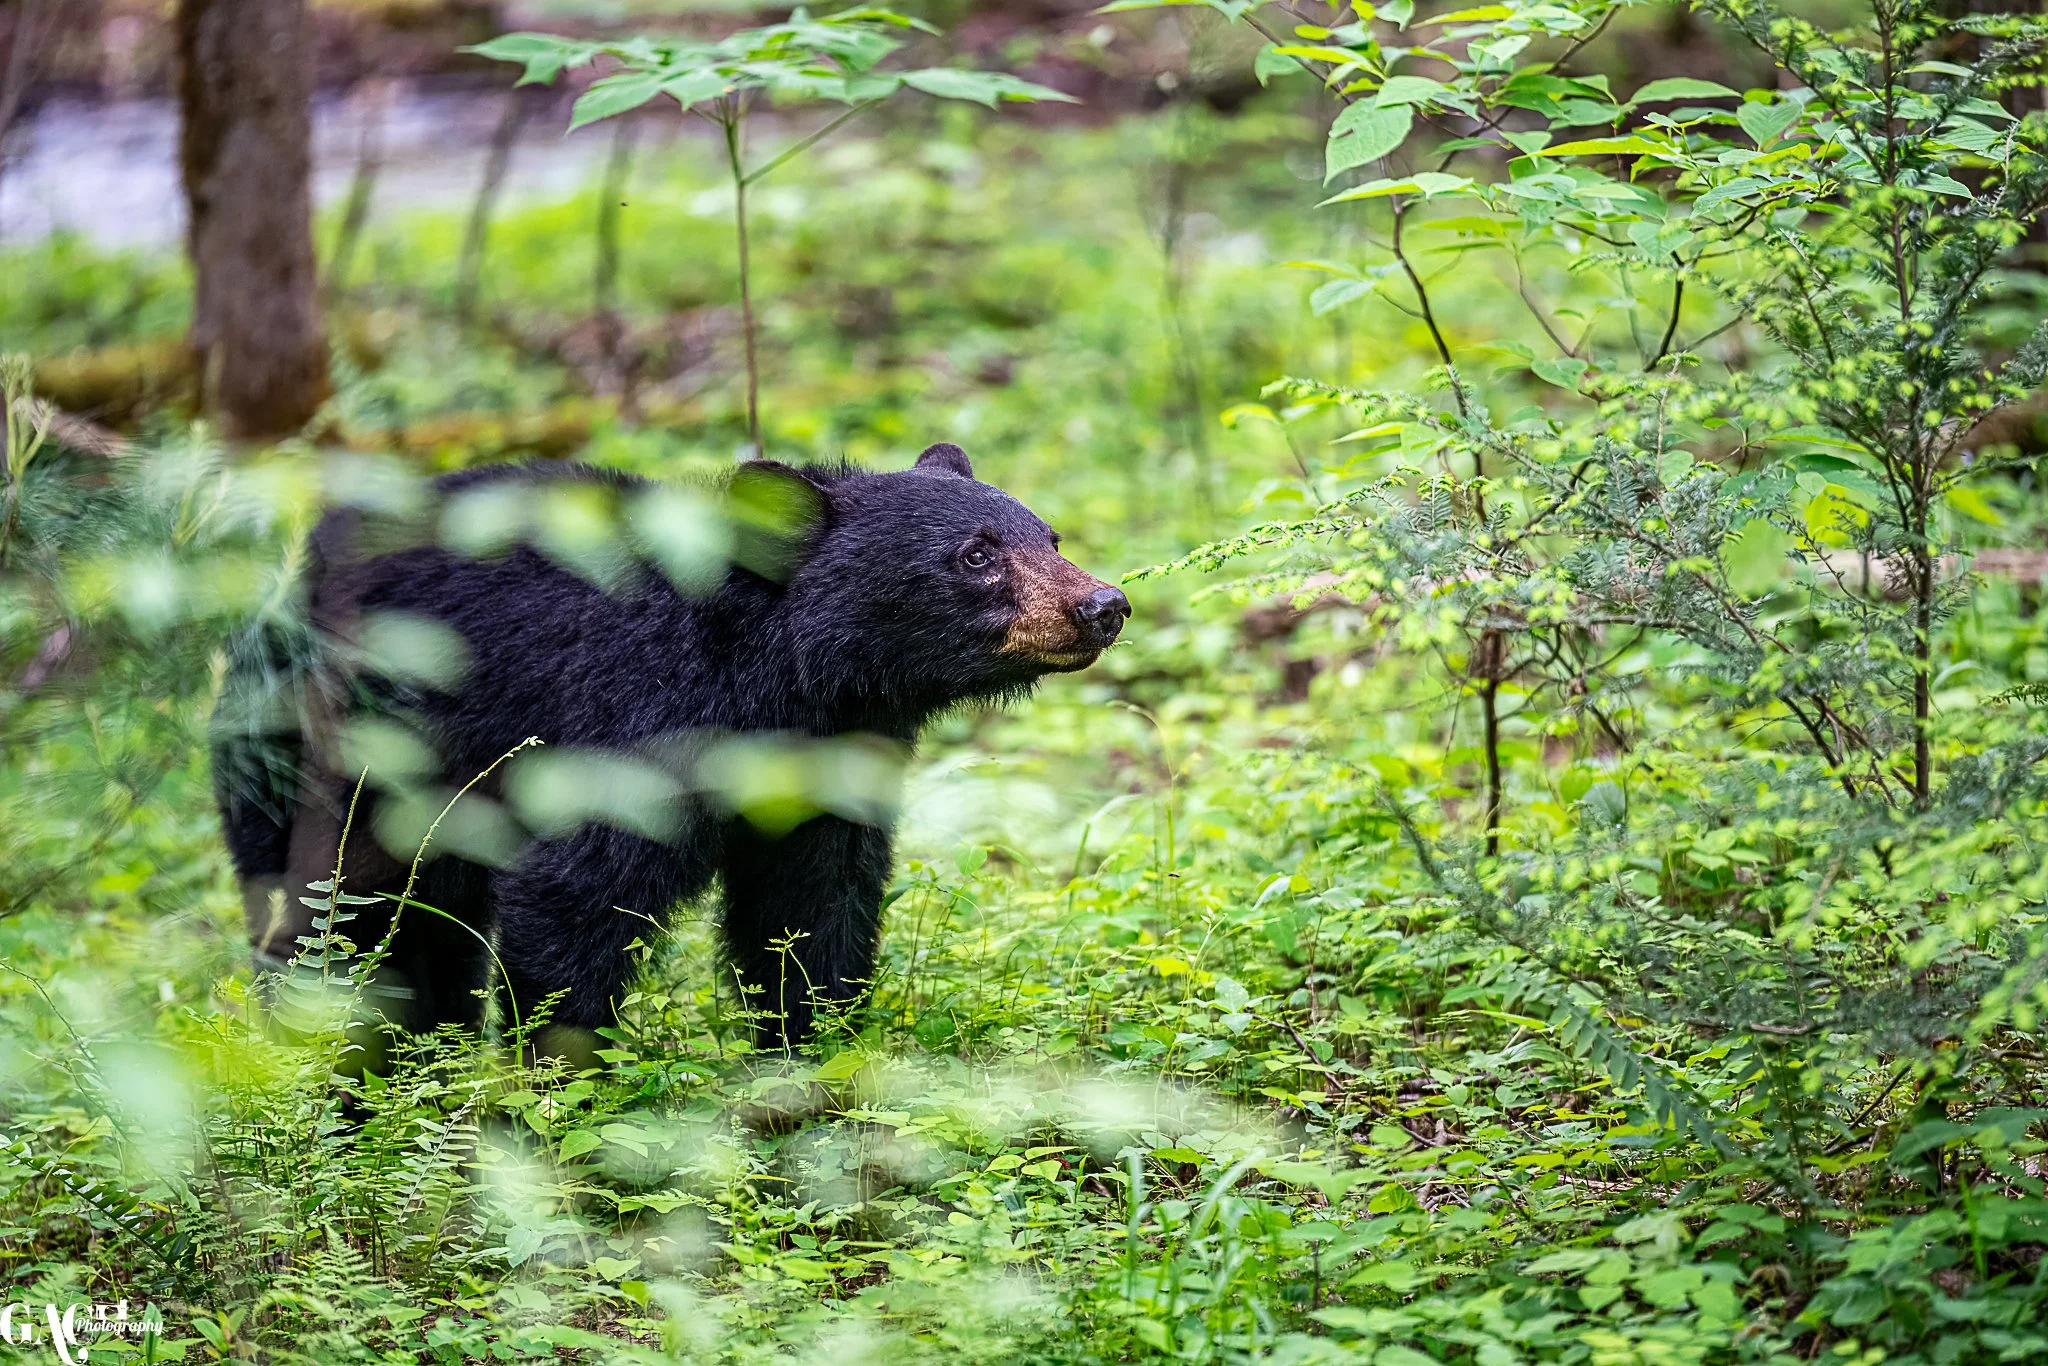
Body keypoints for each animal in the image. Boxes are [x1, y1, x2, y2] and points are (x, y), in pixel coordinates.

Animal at [211, 443, 1130, 1051]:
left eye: (1049, 537)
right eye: (974, 555)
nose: (1105, 605)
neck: (771, 682)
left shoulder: (824, 763)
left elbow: (814, 907)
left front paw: (811, 1050)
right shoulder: (629, 724)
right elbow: (573, 900)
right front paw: (557, 1092)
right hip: (323, 766)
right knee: (333, 927)